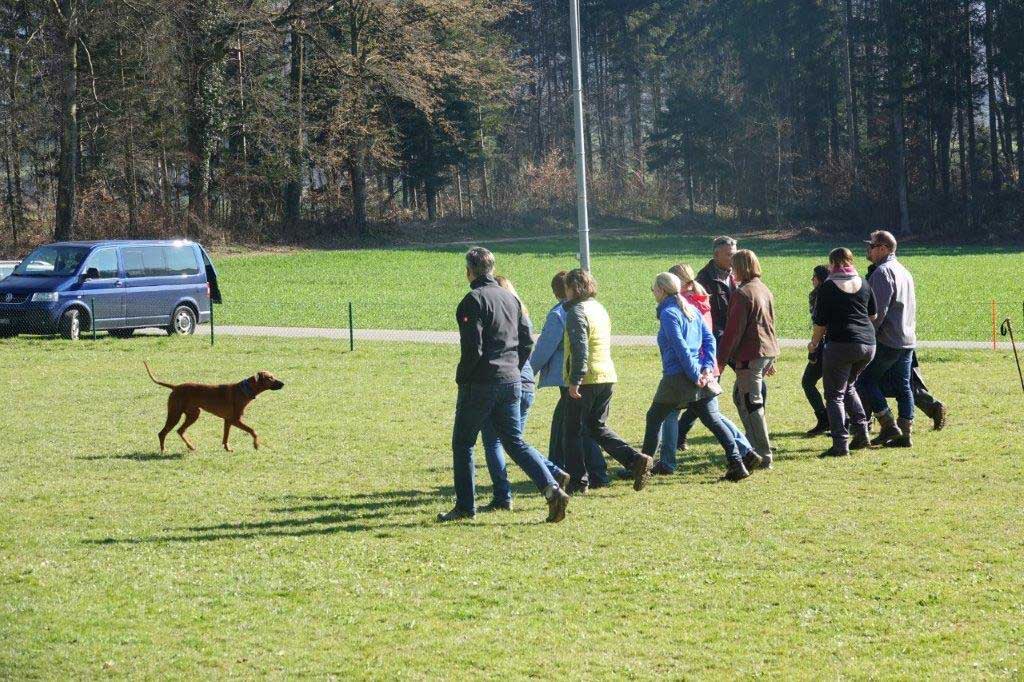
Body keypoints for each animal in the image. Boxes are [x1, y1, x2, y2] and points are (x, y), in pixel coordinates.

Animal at [144, 360, 284, 450]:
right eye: (270, 378)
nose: (283, 383)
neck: (245, 389)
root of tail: (175, 387)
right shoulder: (235, 420)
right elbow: (253, 430)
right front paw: (256, 444)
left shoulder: (228, 420)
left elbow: (225, 437)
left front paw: (227, 448)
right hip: (175, 414)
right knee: (162, 433)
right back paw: (163, 450)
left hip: (193, 414)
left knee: (180, 430)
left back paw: (191, 446)